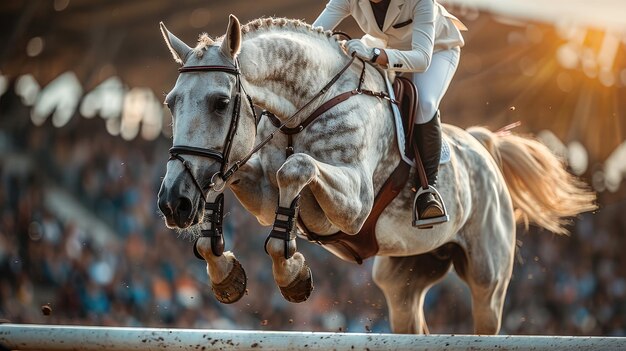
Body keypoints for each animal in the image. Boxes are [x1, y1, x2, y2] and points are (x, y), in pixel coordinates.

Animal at [156, 15, 596, 336]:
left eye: (220, 102)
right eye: (170, 102)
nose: (173, 204)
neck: (306, 107)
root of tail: (482, 146)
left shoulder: (354, 205)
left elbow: (295, 168)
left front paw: (291, 273)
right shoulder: (263, 192)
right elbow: (229, 180)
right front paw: (224, 271)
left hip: (488, 280)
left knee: (485, 312)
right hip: (403, 279)